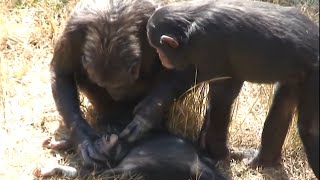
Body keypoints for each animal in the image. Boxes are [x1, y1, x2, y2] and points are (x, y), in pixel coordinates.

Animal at [50, 0, 195, 170]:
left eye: (118, 85)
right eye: (104, 85)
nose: (115, 93)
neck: (111, 22)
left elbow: (187, 66)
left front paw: (146, 116)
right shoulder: (72, 34)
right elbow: (62, 73)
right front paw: (84, 142)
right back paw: (112, 120)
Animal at [146, 0, 318, 177]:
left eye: (159, 49)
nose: (162, 58)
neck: (190, 24)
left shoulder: (208, 47)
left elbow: (221, 98)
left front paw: (217, 153)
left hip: (315, 78)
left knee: (309, 128)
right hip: (296, 77)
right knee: (282, 108)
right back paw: (262, 160)